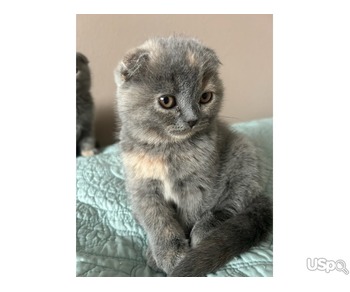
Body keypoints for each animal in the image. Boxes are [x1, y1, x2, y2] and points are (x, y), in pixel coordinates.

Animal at [115, 36, 274, 276]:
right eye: (166, 101)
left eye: (205, 97)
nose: (192, 119)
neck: (168, 149)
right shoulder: (142, 188)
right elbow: (157, 221)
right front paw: (166, 253)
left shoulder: (197, 185)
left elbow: (189, 215)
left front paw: (184, 254)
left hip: (243, 156)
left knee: (233, 203)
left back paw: (206, 231)